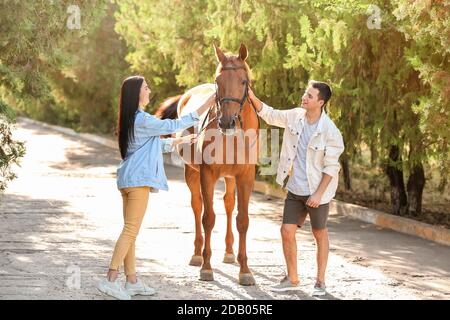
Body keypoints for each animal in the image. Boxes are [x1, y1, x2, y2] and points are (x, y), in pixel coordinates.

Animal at [156, 43, 258, 284]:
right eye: (217, 81)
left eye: (243, 81)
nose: (227, 122)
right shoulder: (207, 174)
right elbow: (208, 218)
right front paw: (206, 267)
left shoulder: (245, 176)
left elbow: (243, 220)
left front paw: (245, 271)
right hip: (191, 173)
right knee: (197, 205)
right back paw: (196, 254)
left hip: (230, 177)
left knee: (229, 204)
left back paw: (229, 253)